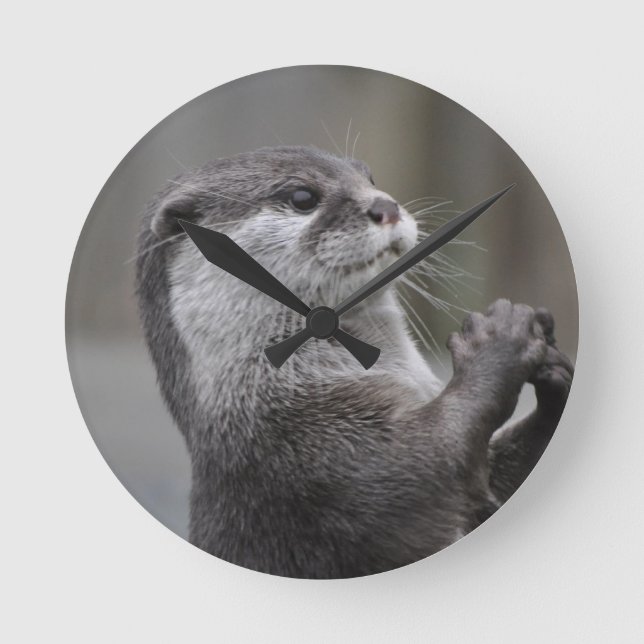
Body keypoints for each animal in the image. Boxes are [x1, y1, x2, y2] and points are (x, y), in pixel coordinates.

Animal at [136, 146, 573, 578]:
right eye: (302, 197)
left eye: (370, 178)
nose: (386, 206)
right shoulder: (318, 463)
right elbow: (434, 458)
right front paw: (499, 338)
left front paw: (556, 372)